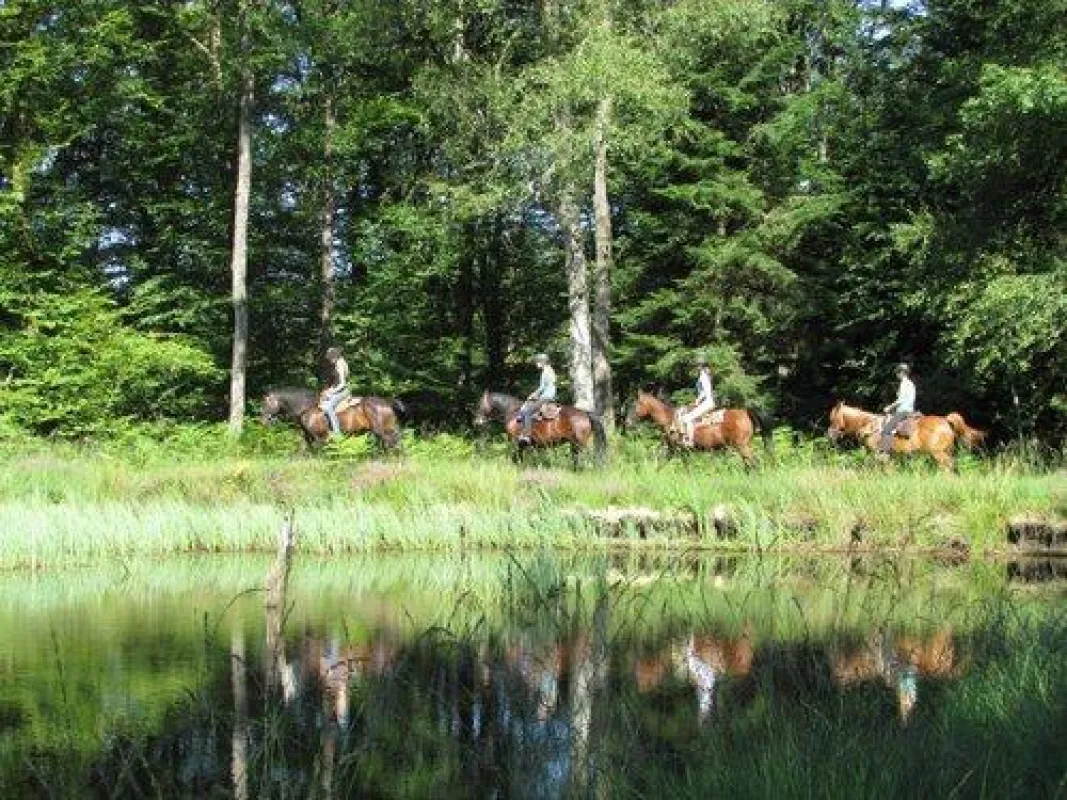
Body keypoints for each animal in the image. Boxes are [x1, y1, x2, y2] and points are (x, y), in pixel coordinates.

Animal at [261, 387, 404, 450]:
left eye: (267, 403)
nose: (262, 420)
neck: (307, 407)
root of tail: (386, 402)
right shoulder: (308, 438)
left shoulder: (320, 438)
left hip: (383, 431)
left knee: (392, 443)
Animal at [472, 390, 607, 466]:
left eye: (480, 404)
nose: (477, 422)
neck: (513, 413)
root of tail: (585, 413)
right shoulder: (523, 446)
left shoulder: (516, 443)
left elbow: (515, 458)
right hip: (574, 444)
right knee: (576, 458)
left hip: (580, 443)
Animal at [624, 389, 772, 467]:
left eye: (635, 404)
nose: (627, 422)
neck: (670, 419)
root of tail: (745, 412)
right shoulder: (675, 450)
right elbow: (664, 464)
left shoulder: (680, 449)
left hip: (741, 446)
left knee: (753, 463)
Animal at [826, 401, 984, 471]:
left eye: (832, 418)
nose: (829, 435)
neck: (869, 425)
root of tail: (945, 421)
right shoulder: (889, 456)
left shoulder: (878, 453)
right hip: (946, 452)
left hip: (939, 454)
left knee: (947, 467)